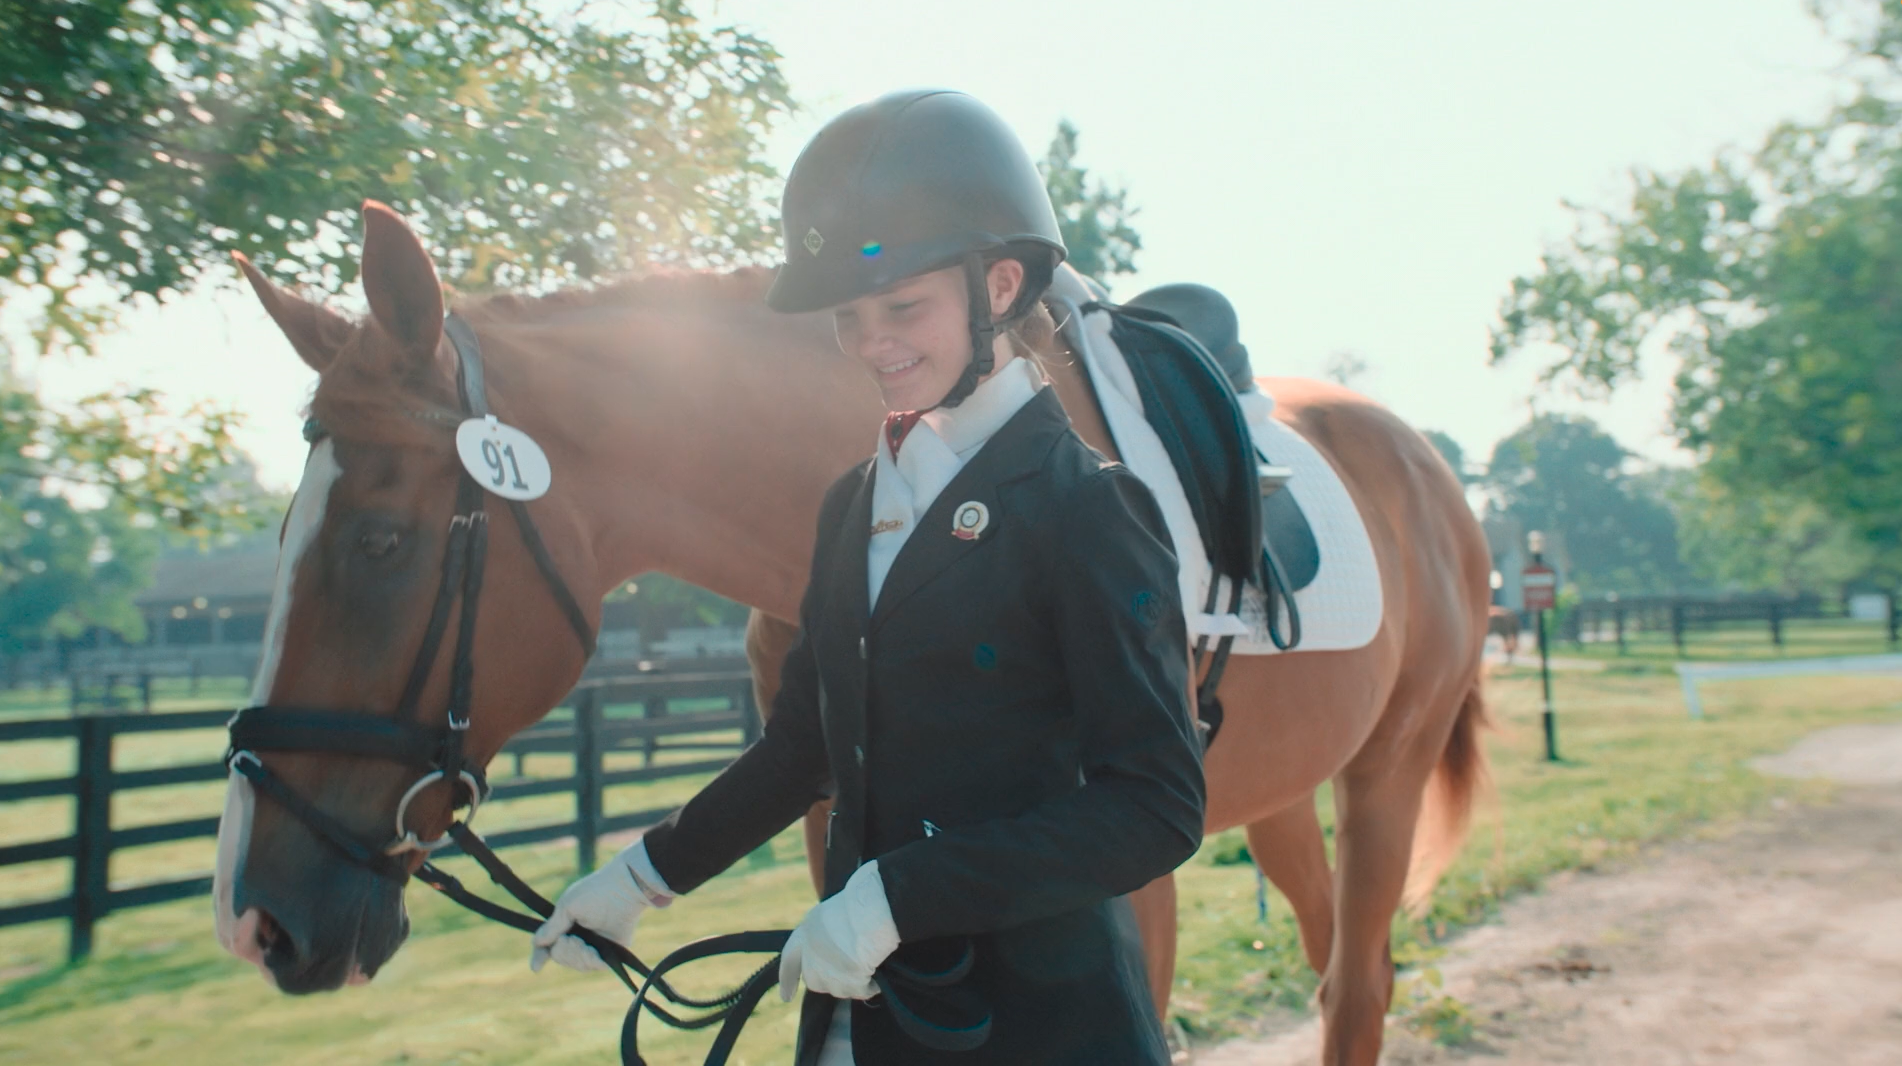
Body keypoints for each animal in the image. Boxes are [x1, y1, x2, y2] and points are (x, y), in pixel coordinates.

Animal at [214, 203, 1491, 1066]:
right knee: (1334, 963)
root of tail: (1425, 460)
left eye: (381, 540)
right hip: (1283, 796)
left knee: (1358, 984)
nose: (252, 918)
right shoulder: (832, 813)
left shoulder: (1122, 859)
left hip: (1384, 772)